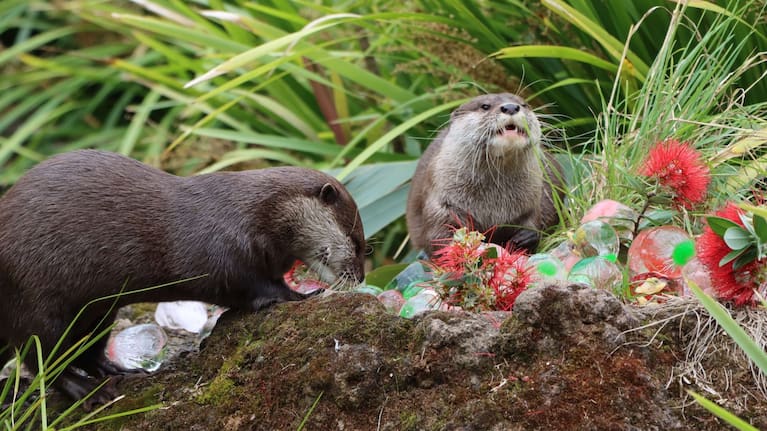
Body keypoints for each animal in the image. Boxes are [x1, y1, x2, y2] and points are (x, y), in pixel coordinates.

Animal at [0, 150, 365, 407]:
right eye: (358, 242)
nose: (360, 277)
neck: (252, 214)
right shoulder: (224, 252)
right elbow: (252, 287)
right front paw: (300, 295)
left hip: (99, 312)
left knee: (86, 350)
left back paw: (118, 371)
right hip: (35, 304)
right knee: (42, 358)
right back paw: (89, 392)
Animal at [407, 93, 564, 255]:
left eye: (524, 104)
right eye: (485, 106)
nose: (511, 107)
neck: (492, 204)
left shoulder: (532, 200)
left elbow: (535, 219)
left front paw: (527, 236)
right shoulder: (440, 201)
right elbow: (436, 236)